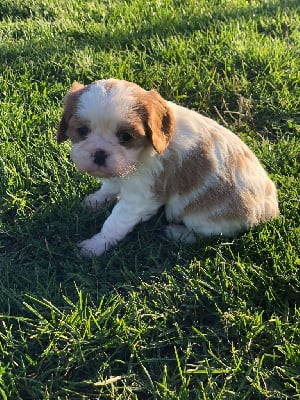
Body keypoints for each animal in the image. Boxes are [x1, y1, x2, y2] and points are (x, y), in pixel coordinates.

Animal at [58, 78, 278, 256]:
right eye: (82, 131)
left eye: (125, 137)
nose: (99, 153)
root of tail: (270, 207)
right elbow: (109, 186)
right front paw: (96, 200)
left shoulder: (141, 197)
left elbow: (115, 222)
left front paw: (95, 246)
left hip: (204, 218)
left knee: (207, 236)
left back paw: (177, 233)